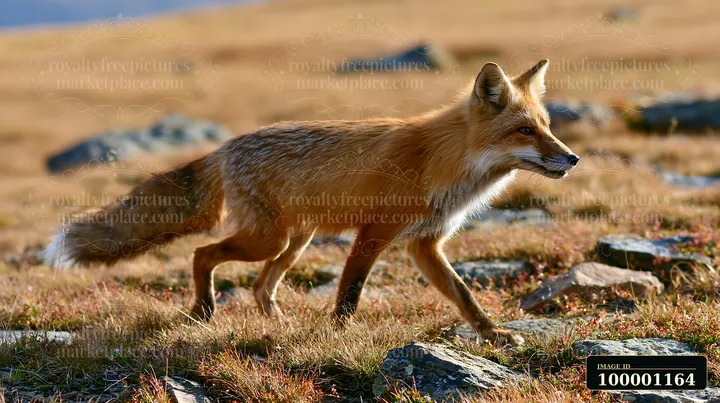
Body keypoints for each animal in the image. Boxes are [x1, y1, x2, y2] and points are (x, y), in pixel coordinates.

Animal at [43, 59, 578, 346]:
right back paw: (203, 310)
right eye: (524, 131)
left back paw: (276, 323)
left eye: (548, 126)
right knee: (203, 254)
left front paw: (492, 335)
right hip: (268, 239)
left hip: (292, 243)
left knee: (259, 286)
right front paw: (337, 337)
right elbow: (349, 295)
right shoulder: (374, 235)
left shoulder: (423, 245)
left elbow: (464, 295)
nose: (571, 158)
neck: (442, 162)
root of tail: (225, 147)